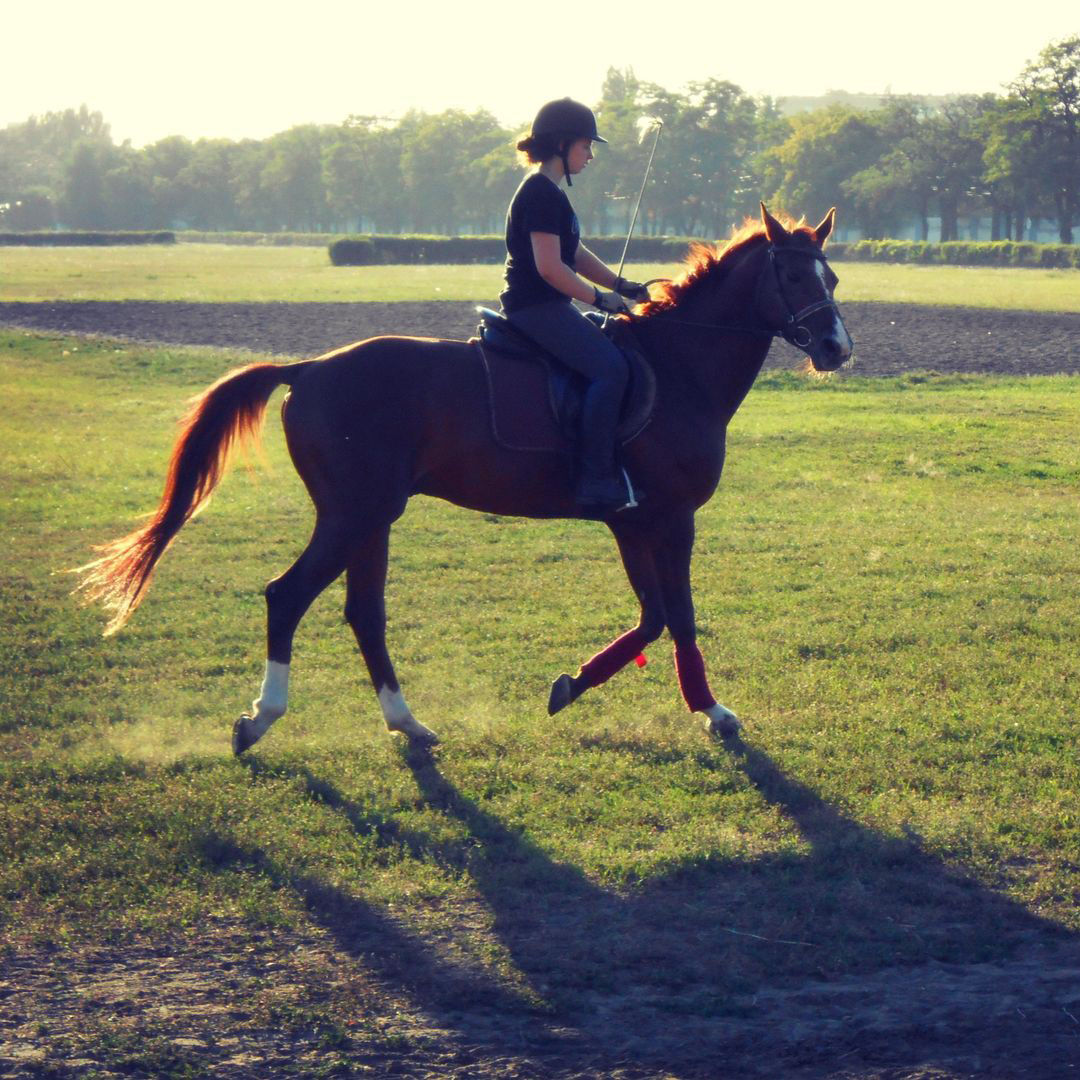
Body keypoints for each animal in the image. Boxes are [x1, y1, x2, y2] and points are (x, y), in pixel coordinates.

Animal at [76, 206, 851, 756]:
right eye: (792, 277)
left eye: (833, 279)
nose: (838, 347)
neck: (679, 365)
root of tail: (310, 368)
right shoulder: (668, 519)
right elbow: (680, 618)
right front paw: (712, 713)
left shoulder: (633, 522)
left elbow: (654, 618)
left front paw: (570, 686)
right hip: (353, 514)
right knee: (286, 596)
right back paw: (261, 719)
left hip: (372, 518)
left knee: (363, 613)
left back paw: (408, 724)